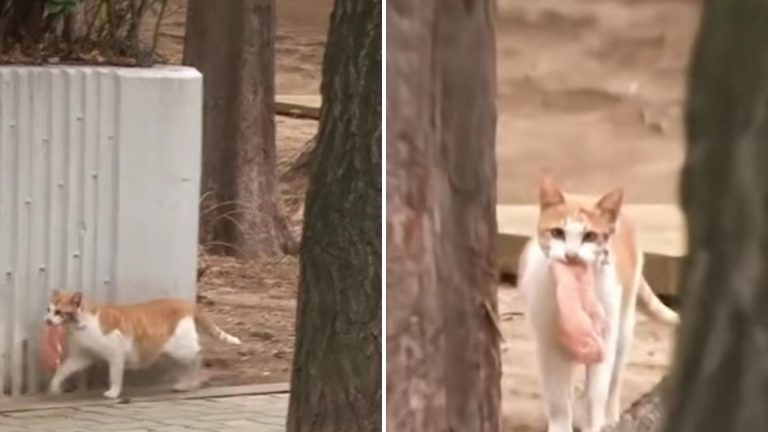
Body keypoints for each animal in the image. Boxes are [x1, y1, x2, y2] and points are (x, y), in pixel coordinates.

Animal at [44, 290, 240, 398]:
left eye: (59, 312)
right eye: (49, 309)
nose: (46, 320)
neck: (79, 324)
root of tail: (187, 303)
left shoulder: (116, 353)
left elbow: (114, 375)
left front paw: (114, 392)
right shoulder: (83, 356)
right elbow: (62, 370)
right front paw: (54, 387)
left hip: (181, 349)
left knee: (199, 355)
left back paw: (191, 383)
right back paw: (185, 385)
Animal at [516, 176, 680, 432]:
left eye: (590, 236)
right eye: (557, 233)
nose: (571, 255)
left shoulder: (605, 338)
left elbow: (597, 393)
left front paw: (596, 424)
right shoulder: (547, 344)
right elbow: (558, 398)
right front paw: (561, 424)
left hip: (623, 330)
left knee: (613, 383)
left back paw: (612, 419)